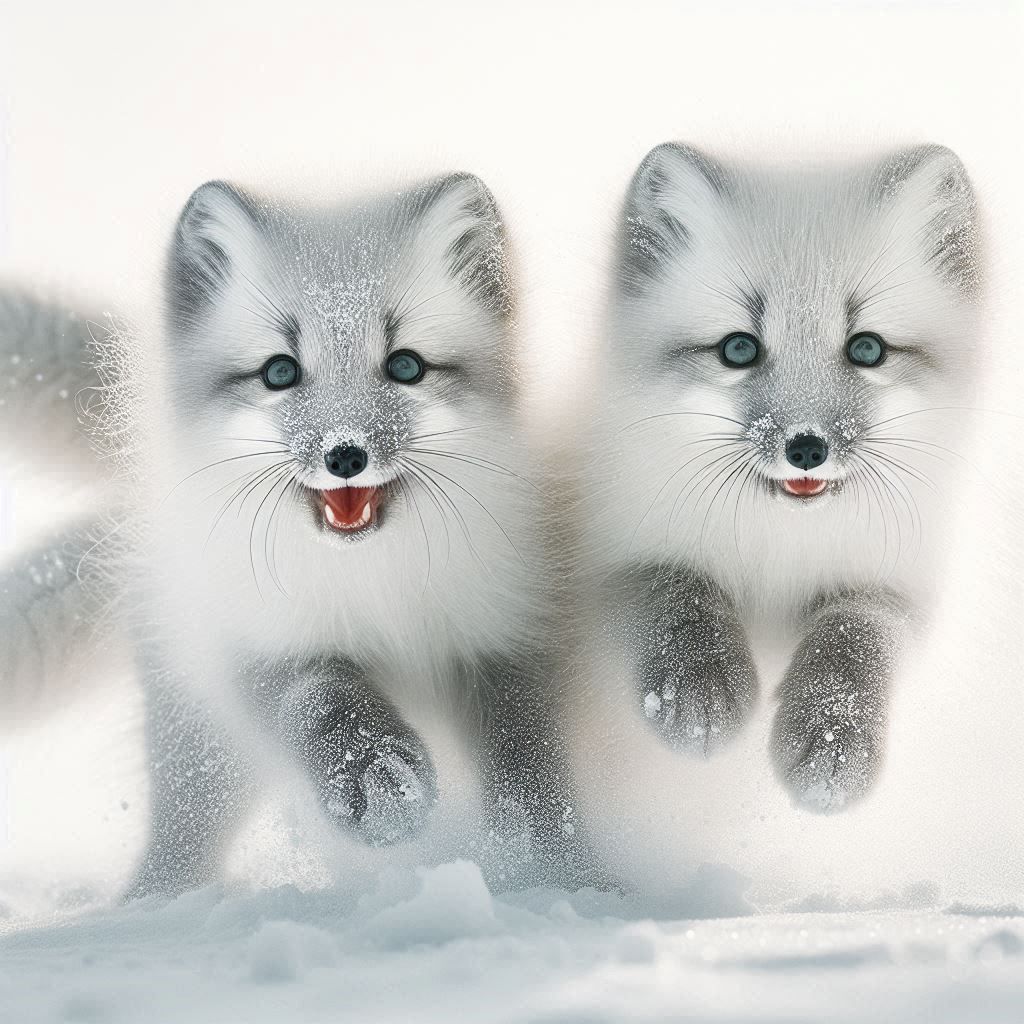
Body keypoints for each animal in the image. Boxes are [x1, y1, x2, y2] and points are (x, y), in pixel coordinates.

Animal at [1, 174, 597, 895]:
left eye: (406, 366)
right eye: (280, 372)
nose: (346, 454)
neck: (380, 584)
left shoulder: (505, 640)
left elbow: (528, 766)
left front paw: (562, 873)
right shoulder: (271, 647)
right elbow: (325, 707)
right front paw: (376, 778)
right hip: (199, 732)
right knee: (179, 834)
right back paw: (153, 901)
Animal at [576, 142, 981, 813]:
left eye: (867, 349)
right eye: (739, 349)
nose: (807, 448)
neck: (780, 546)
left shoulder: (893, 585)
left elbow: (850, 642)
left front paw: (832, 736)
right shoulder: (611, 559)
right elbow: (676, 587)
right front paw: (698, 682)